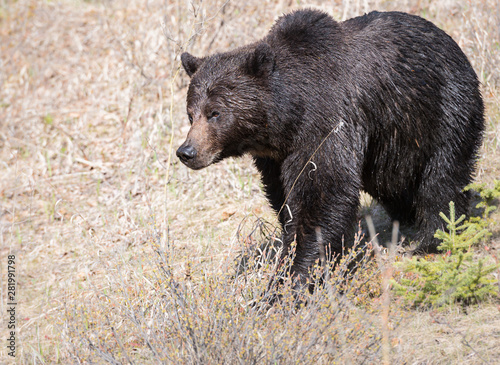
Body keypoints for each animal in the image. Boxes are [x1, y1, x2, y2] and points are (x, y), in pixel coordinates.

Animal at [176, 8, 484, 286]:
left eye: (215, 113)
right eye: (191, 114)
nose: (186, 152)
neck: (287, 118)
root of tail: (449, 40)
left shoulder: (325, 125)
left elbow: (322, 193)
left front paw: (295, 277)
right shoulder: (275, 157)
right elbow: (286, 200)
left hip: (442, 107)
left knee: (442, 176)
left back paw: (432, 237)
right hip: (390, 144)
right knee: (394, 184)